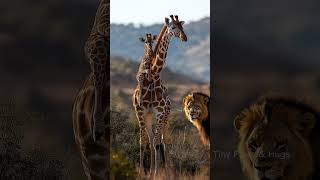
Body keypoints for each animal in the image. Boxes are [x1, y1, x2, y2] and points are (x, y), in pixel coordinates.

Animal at [132, 14, 188, 176]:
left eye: (182, 26)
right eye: (173, 27)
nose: (185, 37)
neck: (154, 77)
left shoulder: (159, 113)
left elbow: (158, 143)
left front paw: (157, 173)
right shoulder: (141, 112)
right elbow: (143, 142)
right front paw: (142, 173)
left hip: (164, 118)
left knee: (161, 140)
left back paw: (165, 170)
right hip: (148, 117)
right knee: (151, 140)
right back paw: (151, 170)